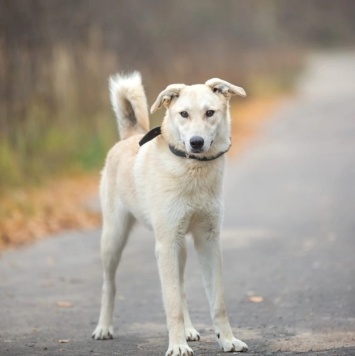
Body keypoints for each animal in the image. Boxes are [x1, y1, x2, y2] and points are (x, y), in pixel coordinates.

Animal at [92, 71, 248, 354]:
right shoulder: (165, 246)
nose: (196, 142)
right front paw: (177, 346)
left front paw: (228, 340)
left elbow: (217, 301)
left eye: (210, 112)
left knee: (182, 288)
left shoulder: (208, 241)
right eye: (183, 114)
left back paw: (188, 330)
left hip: (180, 248)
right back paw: (104, 328)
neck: (193, 169)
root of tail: (129, 136)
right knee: (109, 284)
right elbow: (172, 303)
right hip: (113, 239)